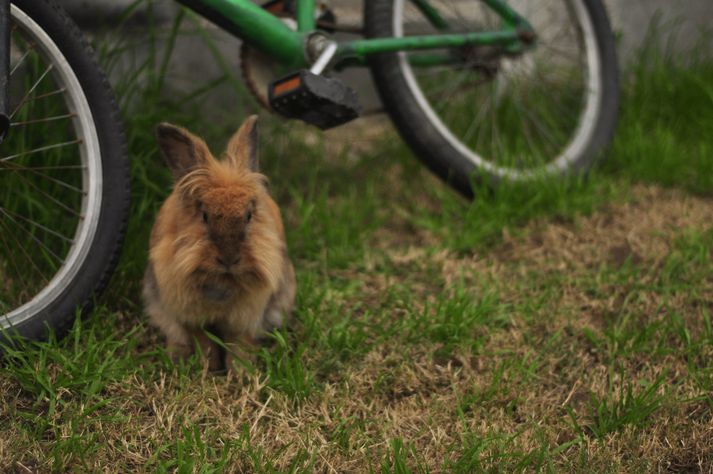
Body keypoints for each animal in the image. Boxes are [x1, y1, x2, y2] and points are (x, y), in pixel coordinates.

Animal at [143, 115, 296, 370]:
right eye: (204, 216)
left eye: (248, 216)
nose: (229, 259)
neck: (222, 279)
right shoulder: (188, 313)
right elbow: (202, 339)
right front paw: (209, 368)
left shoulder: (246, 316)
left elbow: (239, 342)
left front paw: (241, 371)